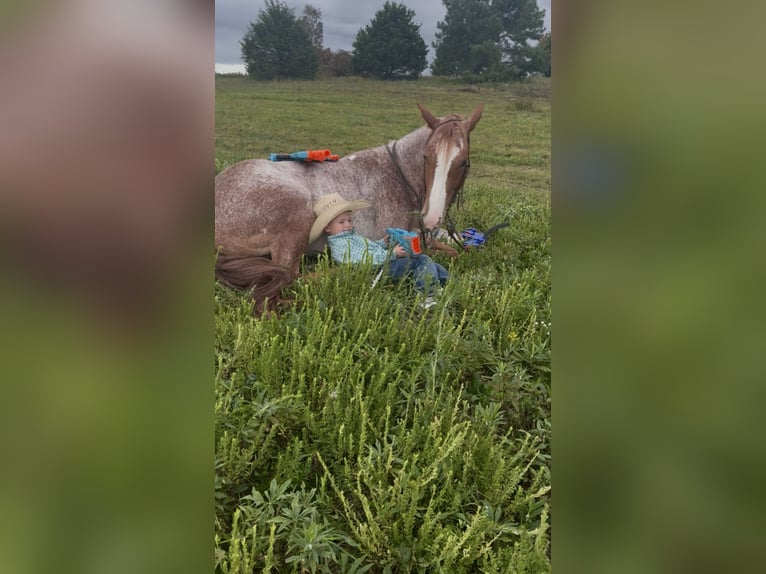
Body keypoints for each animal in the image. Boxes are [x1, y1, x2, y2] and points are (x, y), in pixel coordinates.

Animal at [215, 103, 484, 314]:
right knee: (292, 276)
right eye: (427, 157)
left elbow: (457, 246)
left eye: (463, 162)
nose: (431, 218)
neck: (399, 176)